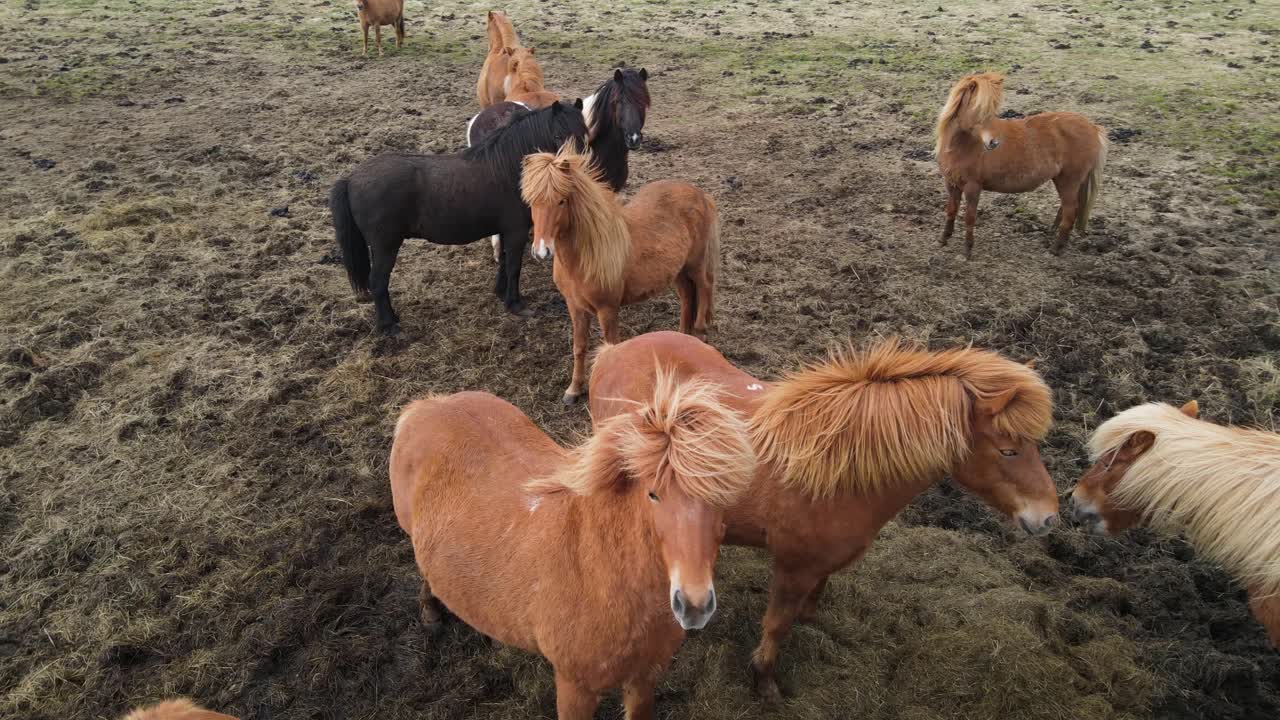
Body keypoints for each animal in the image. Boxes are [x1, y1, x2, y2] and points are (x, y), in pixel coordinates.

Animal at [329, 100, 586, 333]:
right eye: (557, 136)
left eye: (584, 134)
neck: (508, 168)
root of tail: (351, 178)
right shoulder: (517, 231)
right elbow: (514, 265)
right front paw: (515, 304)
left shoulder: (505, 230)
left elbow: (504, 261)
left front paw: (500, 293)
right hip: (385, 246)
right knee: (378, 282)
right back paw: (388, 326)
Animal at [389, 371, 755, 719]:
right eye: (653, 494)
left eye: (725, 494)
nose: (694, 606)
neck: (601, 573)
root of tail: (427, 405)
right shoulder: (574, 687)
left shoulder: (644, 677)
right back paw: (431, 613)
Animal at [520, 143, 718, 404]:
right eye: (532, 202)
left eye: (561, 201)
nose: (542, 251)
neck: (585, 256)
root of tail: (700, 194)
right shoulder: (575, 307)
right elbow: (579, 347)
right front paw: (573, 390)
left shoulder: (607, 310)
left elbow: (611, 347)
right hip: (679, 270)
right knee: (688, 296)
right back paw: (682, 337)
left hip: (695, 263)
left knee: (705, 287)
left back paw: (700, 332)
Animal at [588, 332, 1059, 701]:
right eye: (1008, 450)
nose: (1050, 518)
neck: (837, 468)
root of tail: (614, 351)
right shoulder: (793, 567)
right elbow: (777, 625)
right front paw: (765, 682)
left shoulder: (824, 561)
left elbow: (818, 593)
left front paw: (811, 619)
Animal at [934, 72, 1108, 258]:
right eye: (977, 107)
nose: (994, 143)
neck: (961, 146)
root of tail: (1093, 128)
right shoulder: (951, 183)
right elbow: (951, 210)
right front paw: (944, 238)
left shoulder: (973, 187)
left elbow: (969, 217)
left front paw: (967, 249)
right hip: (1065, 181)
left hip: (1069, 181)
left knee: (1070, 211)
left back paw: (1055, 248)